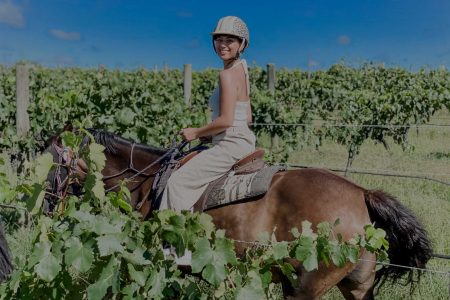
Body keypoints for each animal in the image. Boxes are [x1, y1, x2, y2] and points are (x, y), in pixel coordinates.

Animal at [45, 131, 432, 300]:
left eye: (52, 167)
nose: (46, 205)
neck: (149, 179)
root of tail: (362, 195)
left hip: (304, 287)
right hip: (356, 286)